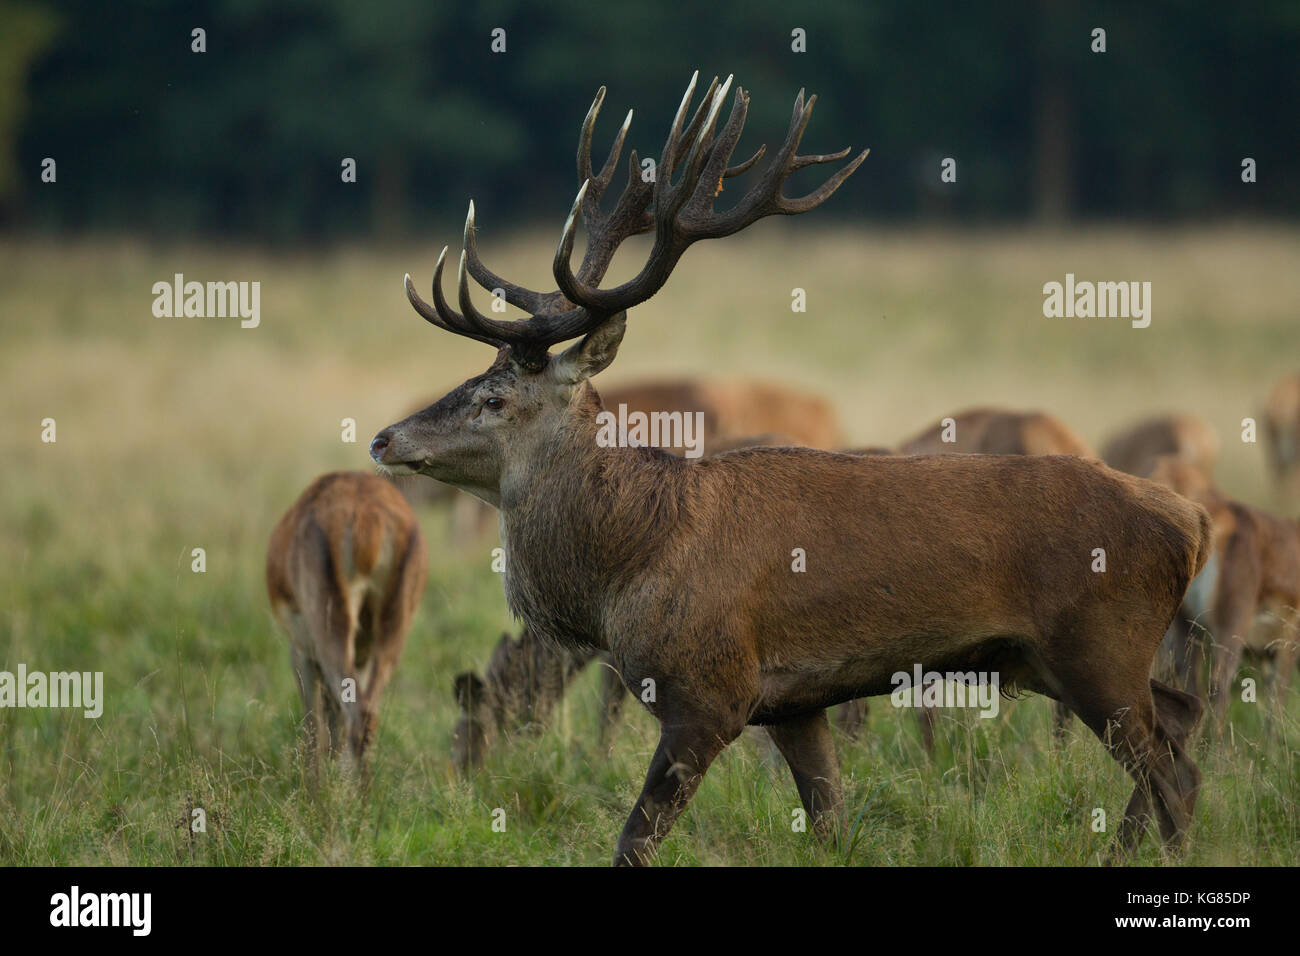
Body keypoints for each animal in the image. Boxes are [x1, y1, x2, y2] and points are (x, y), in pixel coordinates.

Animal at [266, 471, 427, 774]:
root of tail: (369, 517)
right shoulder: (362, 657)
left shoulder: (301, 654)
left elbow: (314, 729)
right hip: (390, 633)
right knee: (366, 716)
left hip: (332, 631)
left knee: (354, 716)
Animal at [369, 74, 1209, 865]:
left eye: (494, 397)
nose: (382, 438)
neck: (626, 569)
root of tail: (1191, 521)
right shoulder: (794, 702)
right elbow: (831, 824)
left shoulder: (711, 689)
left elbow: (635, 838)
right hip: (1061, 661)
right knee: (1182, 727)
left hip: (1100, 646)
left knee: (1172, 772)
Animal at [1146, 457, 1300, 735]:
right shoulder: (1288, 641)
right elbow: (1277, 703)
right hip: (1230, 626)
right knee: (1217, 688)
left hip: (1186, 627)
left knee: (1191, 688)